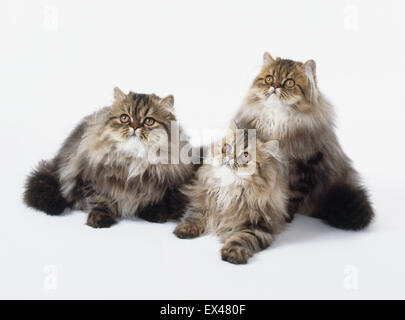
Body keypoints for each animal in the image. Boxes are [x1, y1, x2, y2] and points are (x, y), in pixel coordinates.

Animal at [23, 87, 194, 228]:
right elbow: (101, 201)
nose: (134, 127)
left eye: (149, 121)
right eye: (125, 118)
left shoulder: (162, 184)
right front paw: (100, 219)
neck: (133, 161)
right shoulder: (93, 180)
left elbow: (155, 200)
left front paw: (155, 214)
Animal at [174, 121, 288, 264]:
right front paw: (185, 229)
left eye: (245, 155)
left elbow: (242, 238)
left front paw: (233, 253)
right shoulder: (202, 199)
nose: (228, 157)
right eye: (226, 147)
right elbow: (195, 216)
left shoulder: (259, 225)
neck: (229, 189)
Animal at [235, 51, 374, 229]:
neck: (277, 118)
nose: (275, 86)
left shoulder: (304, 166)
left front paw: (283, 218)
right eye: (269, 79)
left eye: (289, 83)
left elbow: (291, 198)